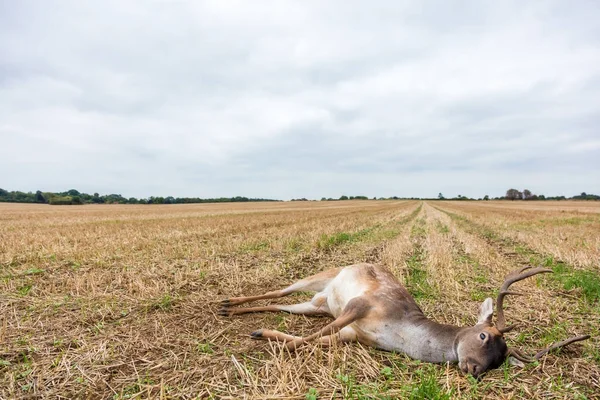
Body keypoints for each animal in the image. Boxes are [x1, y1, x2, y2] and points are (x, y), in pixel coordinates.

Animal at [218, 264, 588, 376]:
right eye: (485, 336)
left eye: (500, 360)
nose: (475, 369)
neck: (397, 332)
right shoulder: (361, 303)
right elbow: (310, 338)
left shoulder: (354, 335)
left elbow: (307, 341)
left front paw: (263, 336)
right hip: (321, 278)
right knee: (279, 291)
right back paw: (227, 302)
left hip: (315, 303)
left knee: (283, 306)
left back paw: (235, 313)